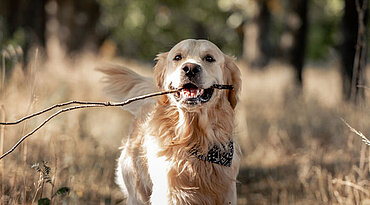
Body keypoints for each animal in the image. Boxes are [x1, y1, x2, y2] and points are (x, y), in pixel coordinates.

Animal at [99, 39, 241, 204]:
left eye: (209, 58)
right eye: (178, 57)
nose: (190, 69)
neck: (193, 138)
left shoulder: (227, 194)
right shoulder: (171, 194)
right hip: (136, 192)